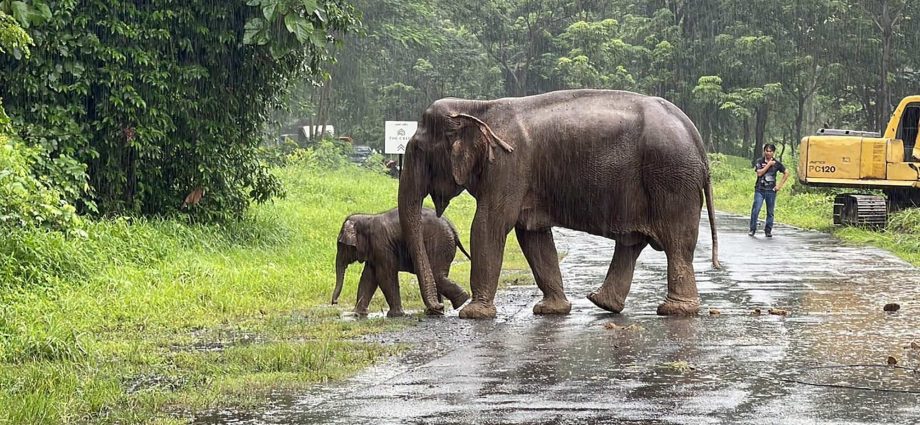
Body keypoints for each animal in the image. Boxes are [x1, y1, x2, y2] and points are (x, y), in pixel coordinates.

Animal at [334, 207, 470, 316]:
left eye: (340, 245)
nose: (335, 302)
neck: (367, 218)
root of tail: (452, 227)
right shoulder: (374, 251)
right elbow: (368, 277)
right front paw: (358, 314)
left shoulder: (381, 245)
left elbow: (384, 276)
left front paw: (394, 315)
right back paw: (436, 311)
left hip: (439, 245)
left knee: (436, 274)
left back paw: (461, 301)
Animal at [398, 89, 724, 318]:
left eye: (418, 151)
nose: (437, 309)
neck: (477, 107)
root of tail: (696, 137)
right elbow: (533, 236)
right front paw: (551, 310)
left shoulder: (508, 165)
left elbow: (489, 225)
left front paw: (473, 314)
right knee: (633, 242)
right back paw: (603, 303)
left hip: (671, 179)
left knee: (677, 242)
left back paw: (674, 311)